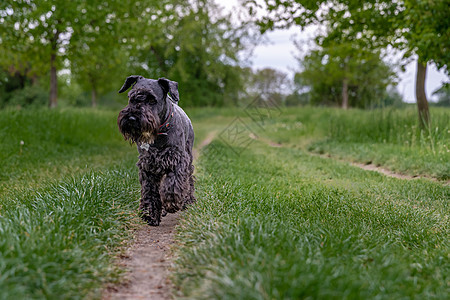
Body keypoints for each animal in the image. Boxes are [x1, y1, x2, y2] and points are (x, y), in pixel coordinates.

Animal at [117, 75, 194, 225]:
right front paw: (150, 213)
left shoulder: (178, 159)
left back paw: (188, 201)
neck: (159, 133)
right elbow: (150, 191)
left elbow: (173, 183)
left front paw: (171, 202)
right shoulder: (148, 165)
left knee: (189, 180)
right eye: (131, 98)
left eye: (152, 100)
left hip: (188, 157)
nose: (132, 118)